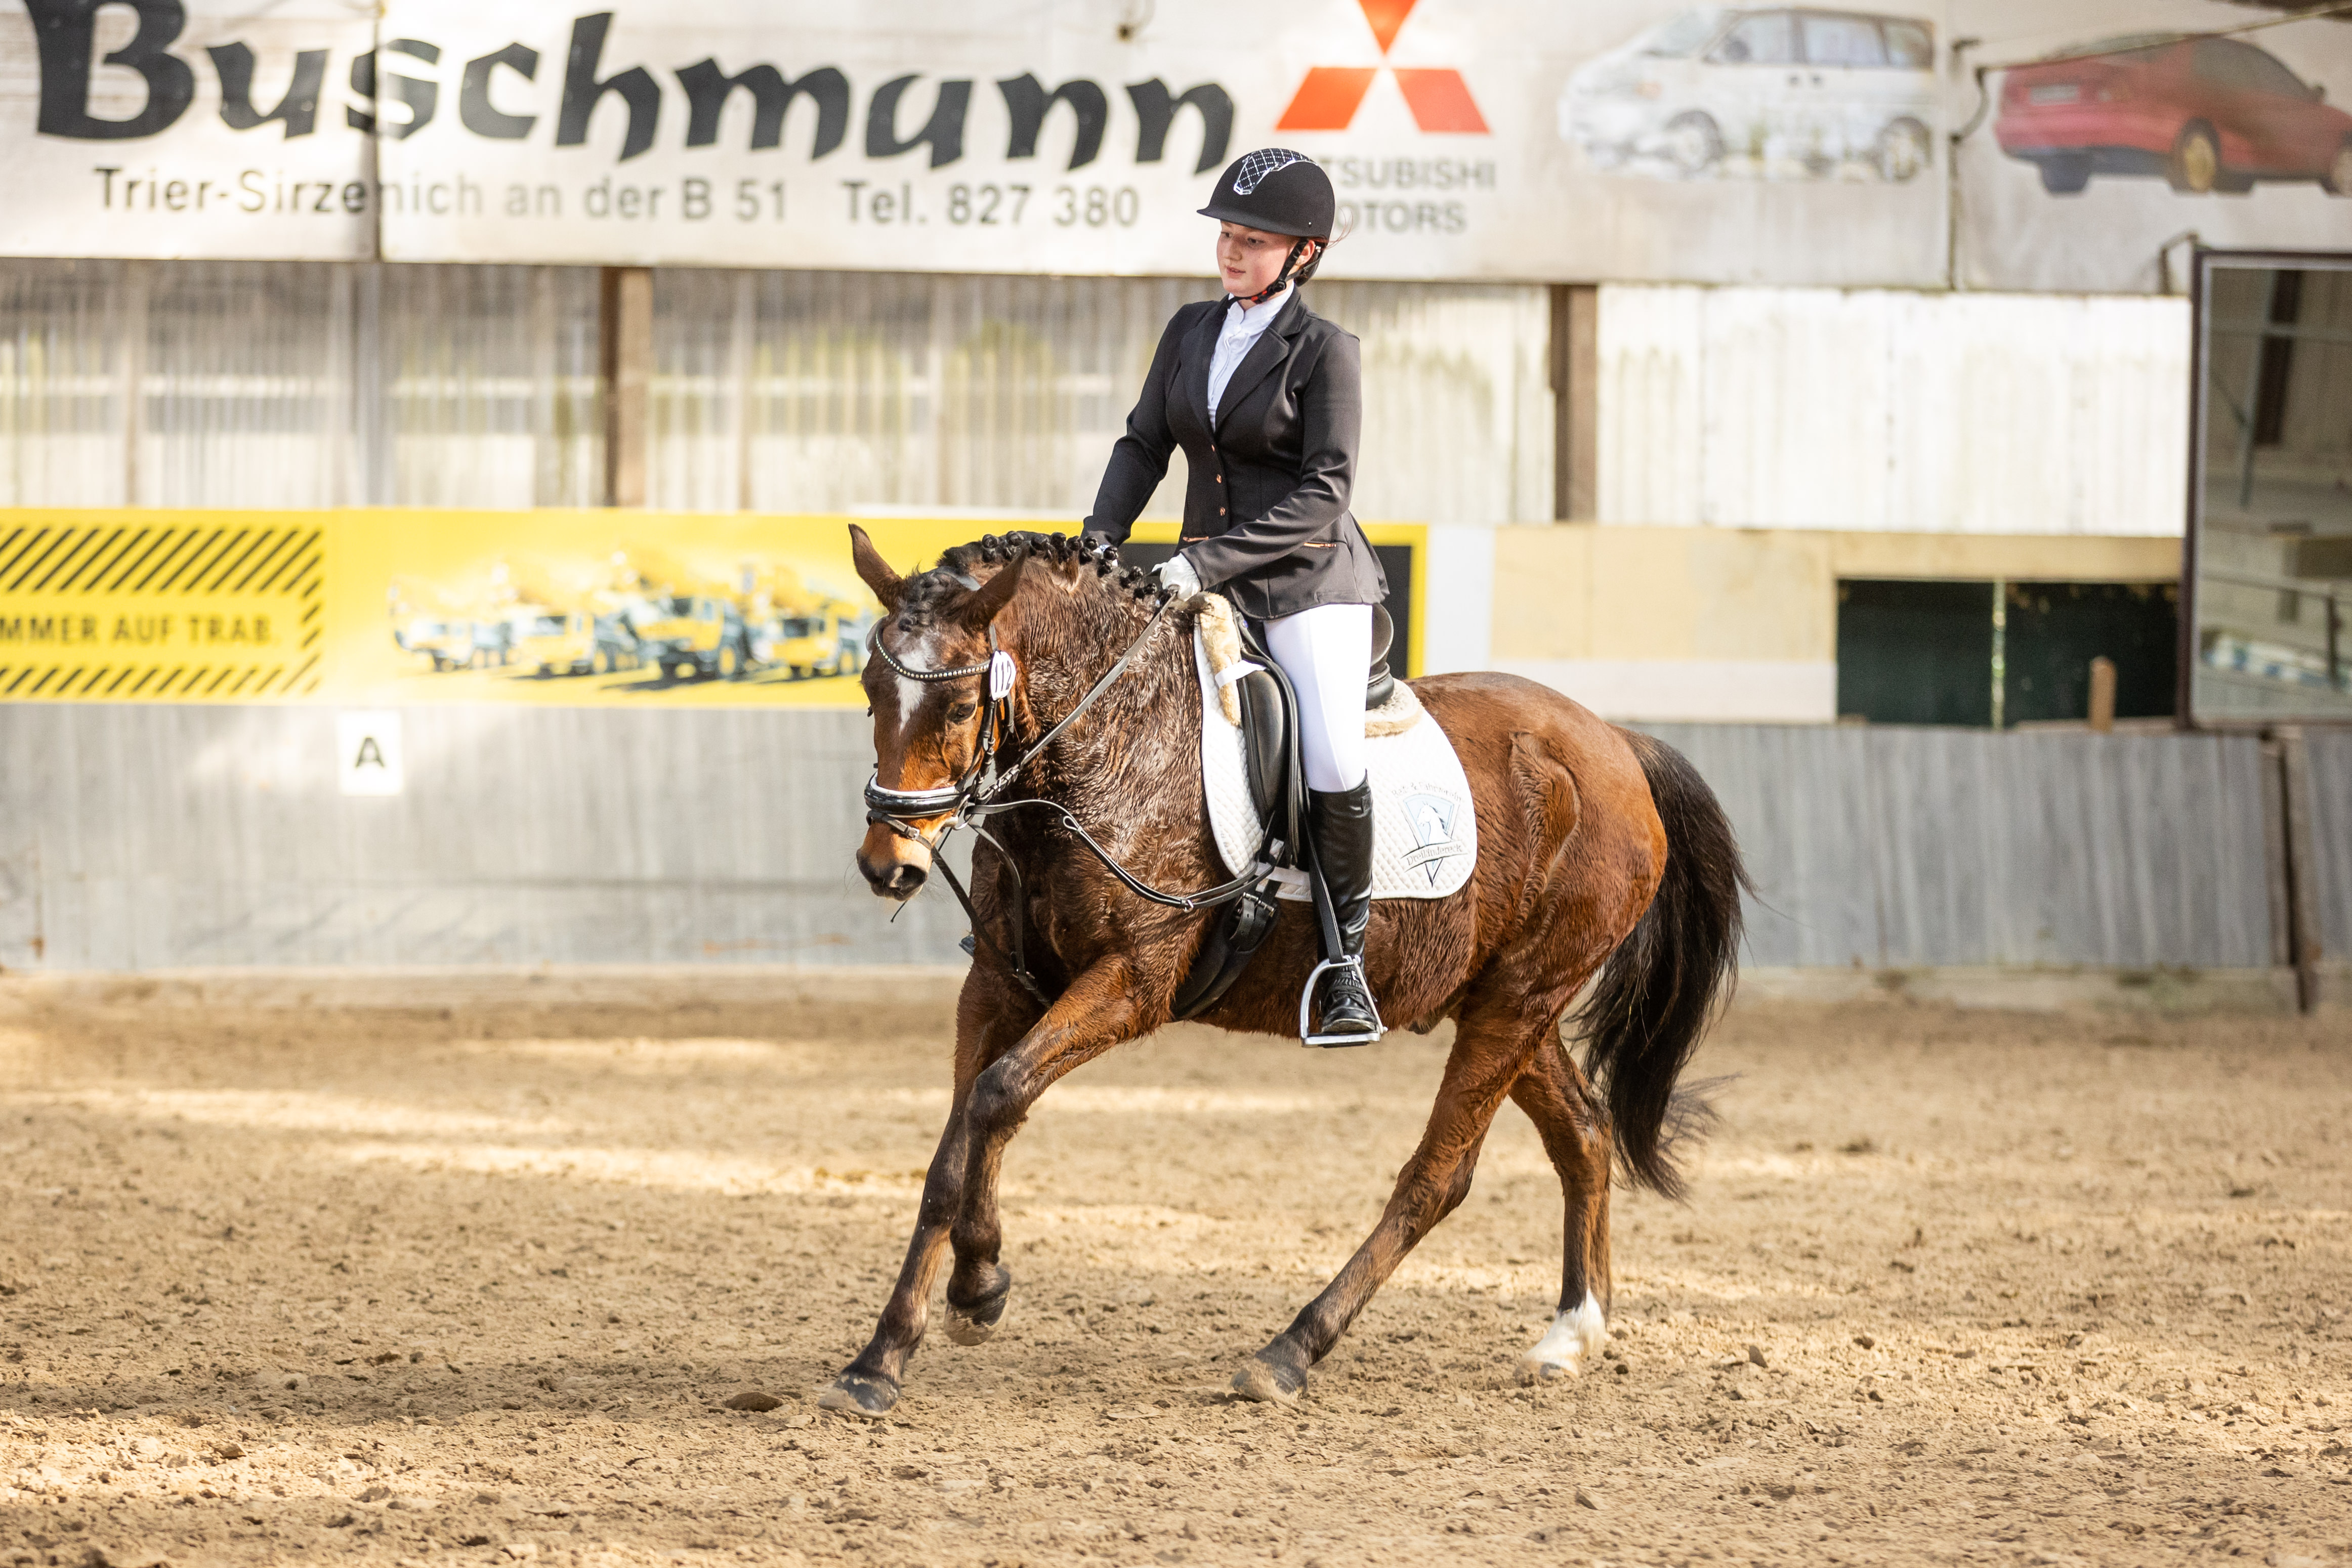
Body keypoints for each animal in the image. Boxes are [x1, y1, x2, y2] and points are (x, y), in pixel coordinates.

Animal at [821, 526, 1745, 1416]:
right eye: (869, 689)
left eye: (960, 704)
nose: (888, 865)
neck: (1108, 744)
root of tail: (1615, 742)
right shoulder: (1000, 984)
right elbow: (958, 1138)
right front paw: (910, 1335)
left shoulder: (1130, 982)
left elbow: (997, 1095)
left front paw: (952, 1301)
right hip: (1506, 1002)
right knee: (1583, 1132)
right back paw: (1570, 1335)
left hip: (1517, 1002)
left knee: (1437, 1176)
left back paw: (1290, 1349)